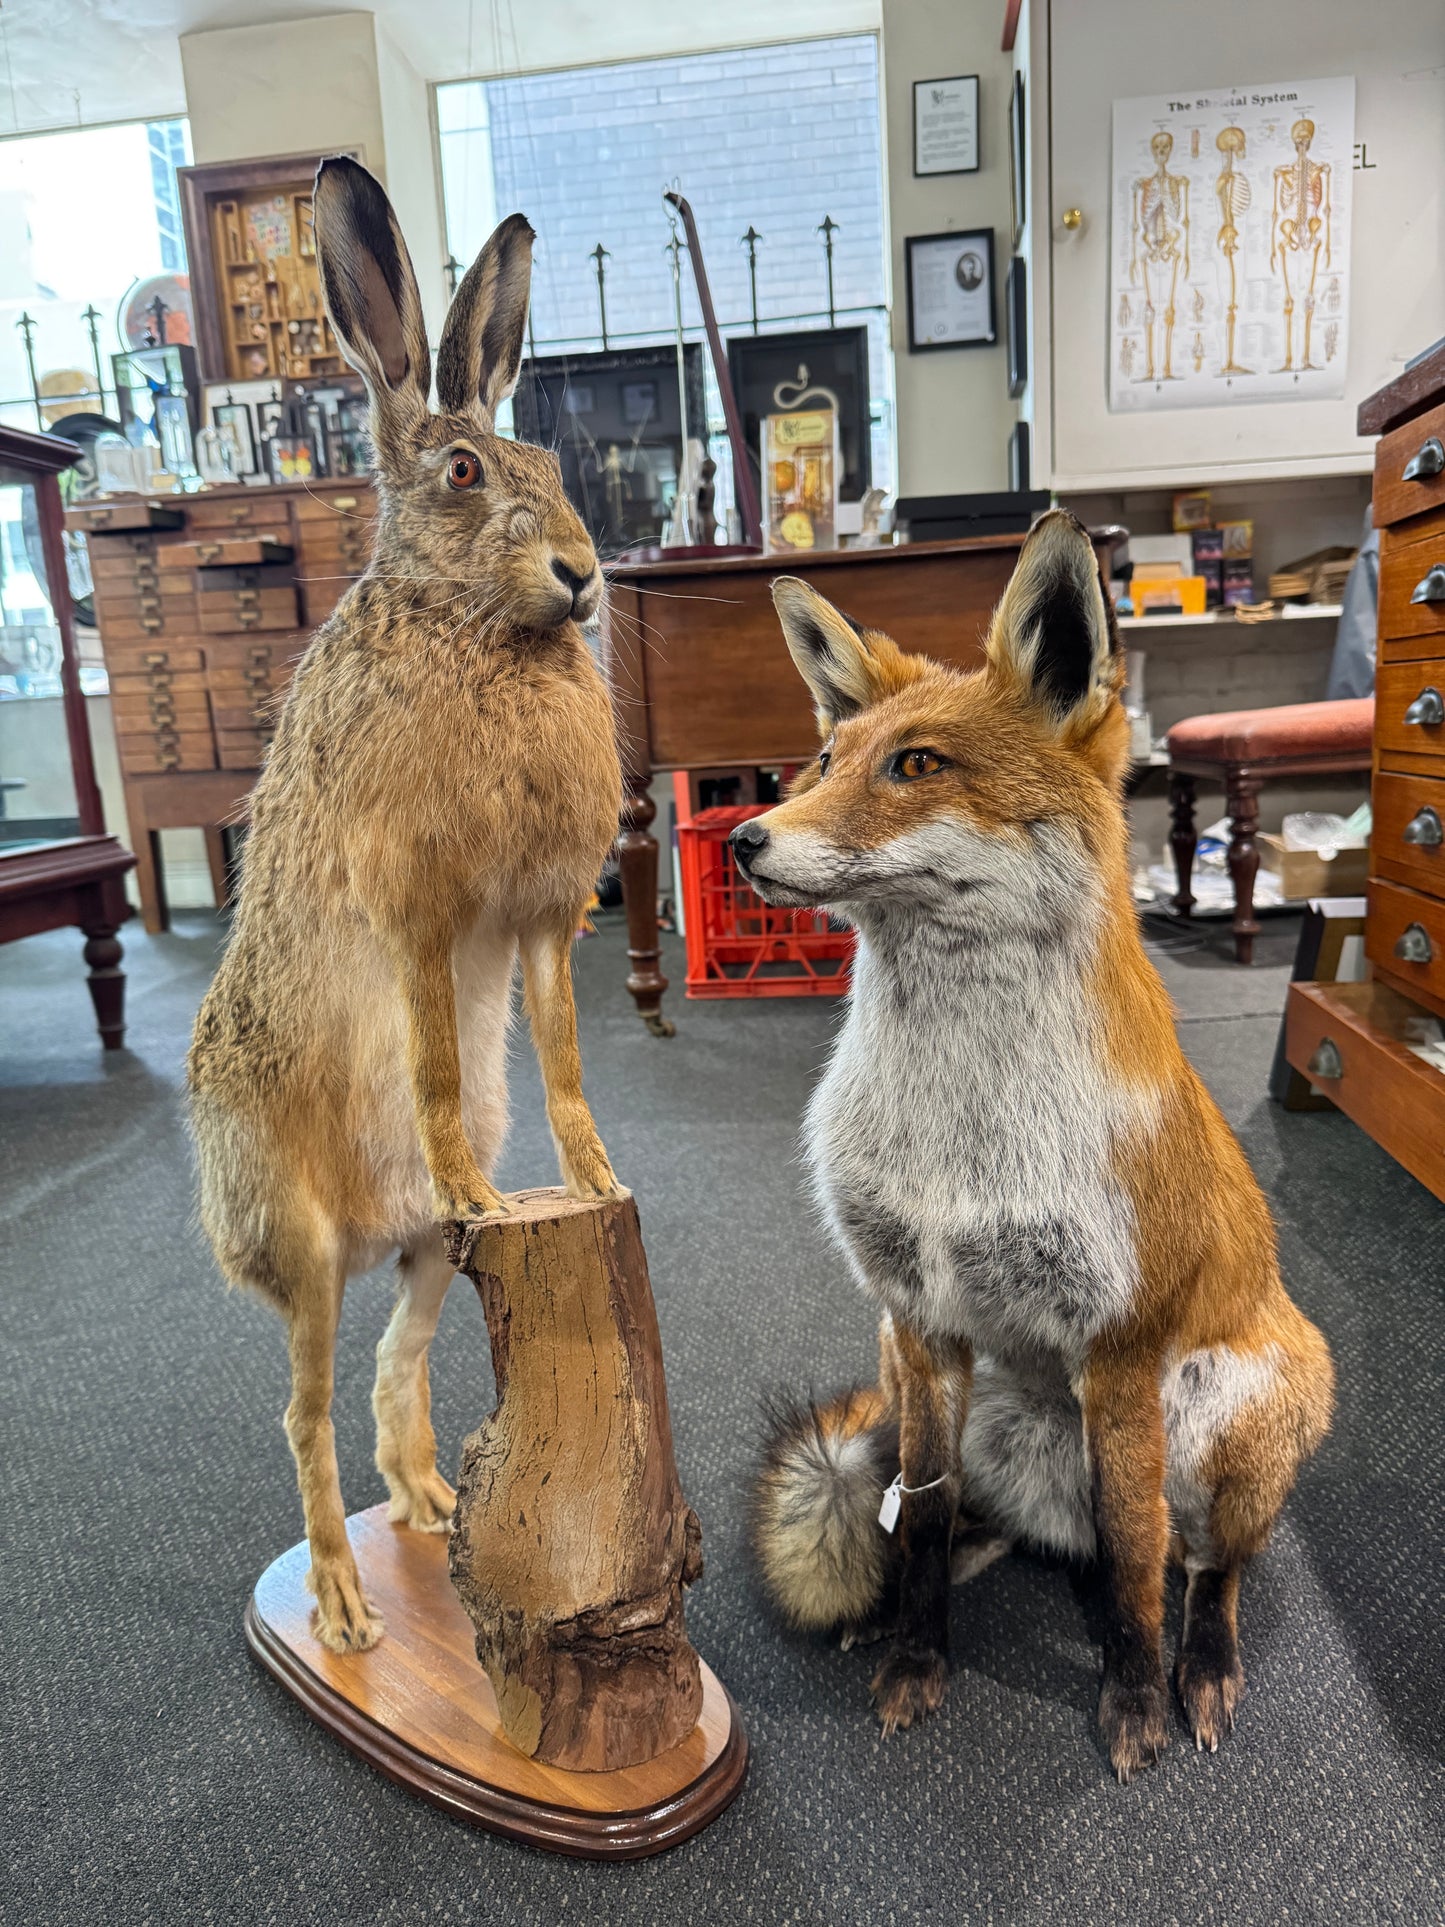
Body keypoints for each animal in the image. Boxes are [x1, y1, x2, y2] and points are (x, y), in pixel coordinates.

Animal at [189, 154, 620, 1657]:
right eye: (464, 472)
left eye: (555, 470)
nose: (583, 575)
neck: (477, 628)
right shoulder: (423, 913)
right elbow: (434, 1055)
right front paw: (505, 1176)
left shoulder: (540, 922)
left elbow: (562, 1058)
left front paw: (594, 1180)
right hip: (303, 1249)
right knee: (302, 1407)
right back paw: (341, 1601)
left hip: (429, 1259)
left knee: (401, 1351)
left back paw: (430, 1501)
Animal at [747, 508, 1333, 1772]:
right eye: (825, 761)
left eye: (915, 765)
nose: (744, 841)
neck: (956, 1129)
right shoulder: (914, 1321)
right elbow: (916, 1520)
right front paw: (915, 1656)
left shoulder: (1116, 1348)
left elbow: (1133, 1562)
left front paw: (1133, 1701)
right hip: (941, 1392)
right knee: (1002, 1528)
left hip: (1239, 1417)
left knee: (1198, 1562)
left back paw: (1201, 1665)